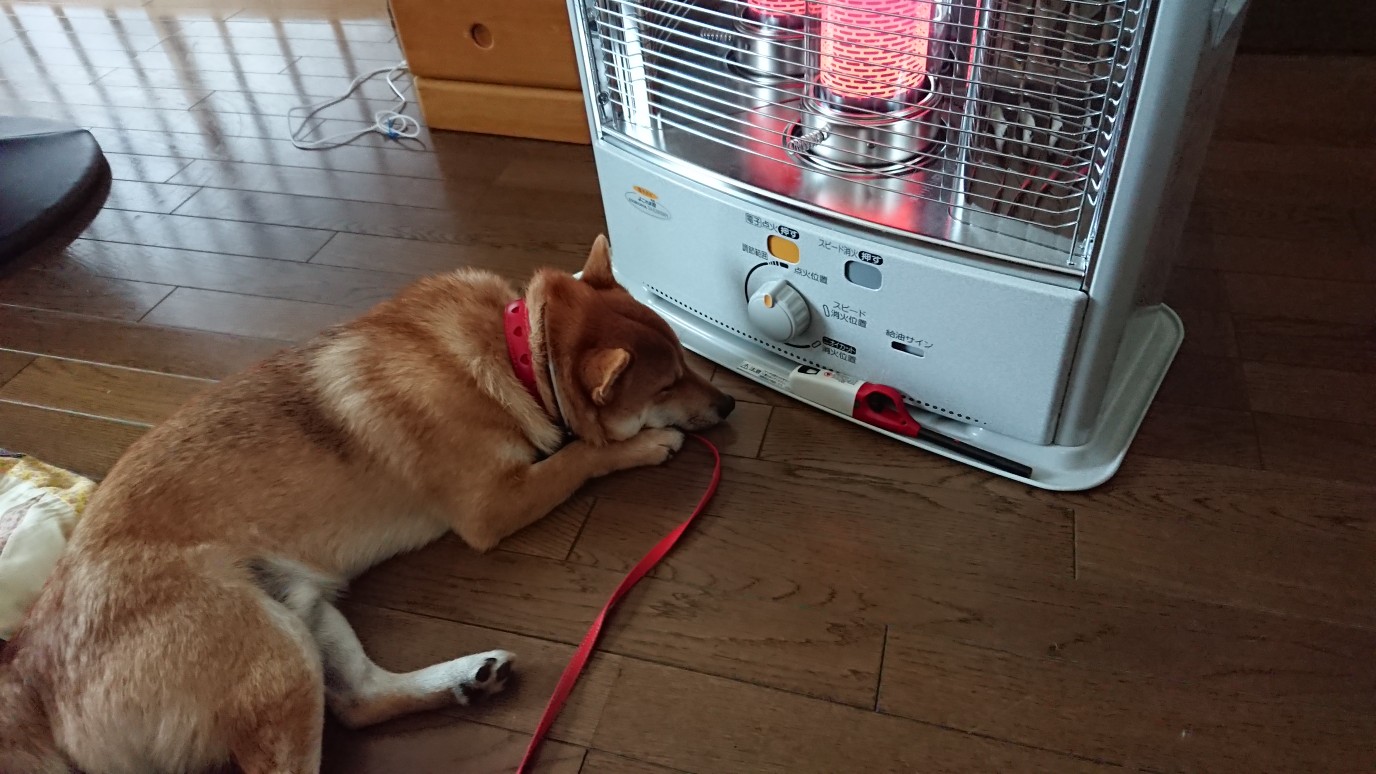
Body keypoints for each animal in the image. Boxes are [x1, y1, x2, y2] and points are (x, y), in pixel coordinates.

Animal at [0, 235, 734, 773]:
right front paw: (645, 444)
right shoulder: (493, 505)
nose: (729, 404)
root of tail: (31, 672)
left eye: (687, 359)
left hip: (299, 614)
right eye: (668, 383)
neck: (518, 354)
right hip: (274, 656)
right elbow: (580, 457)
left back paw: (466, 679)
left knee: (358, 701)